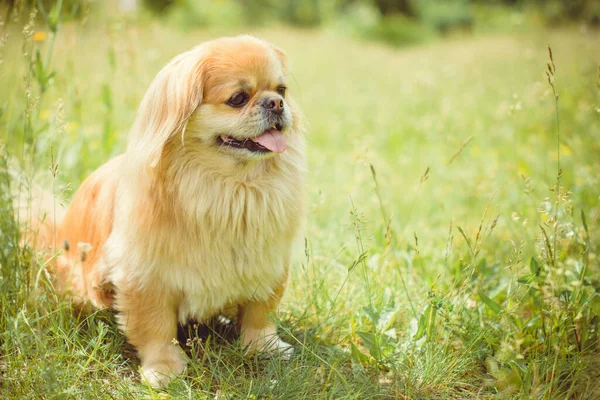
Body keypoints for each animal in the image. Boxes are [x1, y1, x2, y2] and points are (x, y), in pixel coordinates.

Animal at [23, 36, 304, 386]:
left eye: (282, 90)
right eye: (238, 98)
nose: (276, 104)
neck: (229, 188)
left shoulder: (268, 264)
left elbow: (259, 312)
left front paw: (264, 347)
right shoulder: (146, 277)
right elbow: (156, 327)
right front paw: (164, 368)